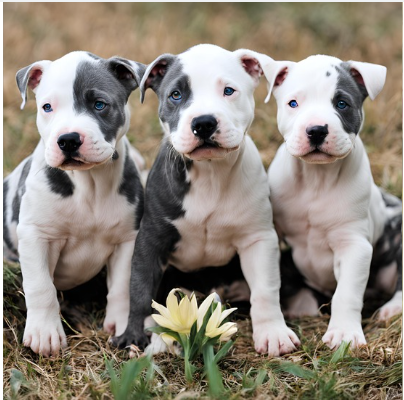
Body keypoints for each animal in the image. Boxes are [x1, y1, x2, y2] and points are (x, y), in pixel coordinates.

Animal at [3, 50, 145, 356]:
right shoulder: (35, 235)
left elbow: (122, 286)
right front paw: (44, 333)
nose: (68, 140)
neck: (89, 185)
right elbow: (40, 286)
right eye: (47, 107)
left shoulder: (127, 239)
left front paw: (123, 325)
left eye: (100, 105)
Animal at [266, 54, 400, 350]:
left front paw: (344, 334)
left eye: (342, 104)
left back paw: (393, 308)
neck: (316, 179)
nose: (316, 130)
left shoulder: (354, 245)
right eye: (293, 103)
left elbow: (346, 293)